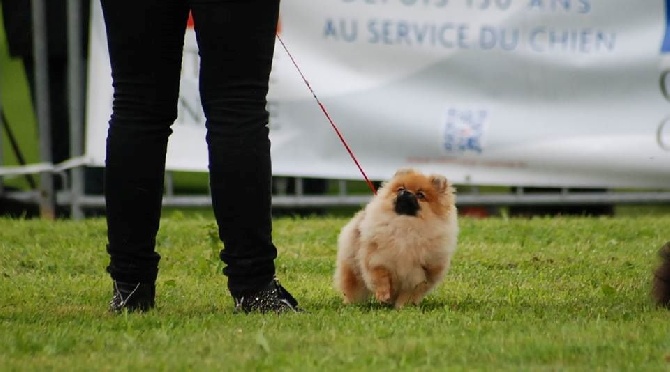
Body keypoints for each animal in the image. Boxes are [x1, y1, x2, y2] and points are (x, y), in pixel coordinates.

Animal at [334, 169, 460, 308]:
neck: (405, 225)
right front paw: (383, 295)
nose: (406, 192)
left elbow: (410, 292)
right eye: (401, 189)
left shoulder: (422, 274)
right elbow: (380, 278)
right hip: (353, 268)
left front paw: (402, 307)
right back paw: (352, 304)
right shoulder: (377, 259)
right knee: (352, 287)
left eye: (420, 195)